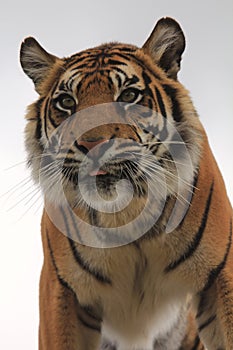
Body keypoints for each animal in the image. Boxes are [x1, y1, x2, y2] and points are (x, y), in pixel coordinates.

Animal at [20, 15, 233, 348]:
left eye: (129, 96)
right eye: (66, 102)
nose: (92, 144)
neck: (127, 213)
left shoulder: (220, 273)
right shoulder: (61, 291)